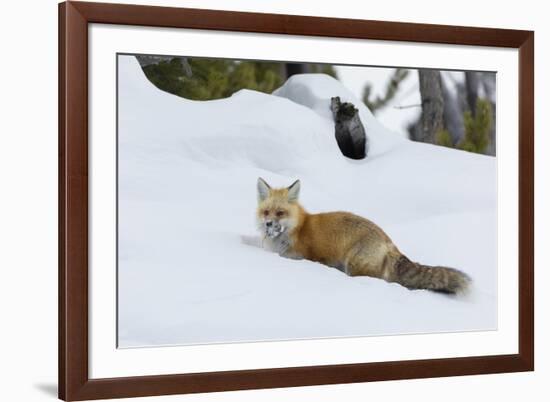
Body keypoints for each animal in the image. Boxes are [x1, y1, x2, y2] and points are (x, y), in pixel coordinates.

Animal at [256, 177, 472, 294]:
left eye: (280, 213)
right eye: (266, 212)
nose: (268, 224)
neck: (296, 229)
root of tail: (389, 241)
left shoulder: (306, 257)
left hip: (354, 266)